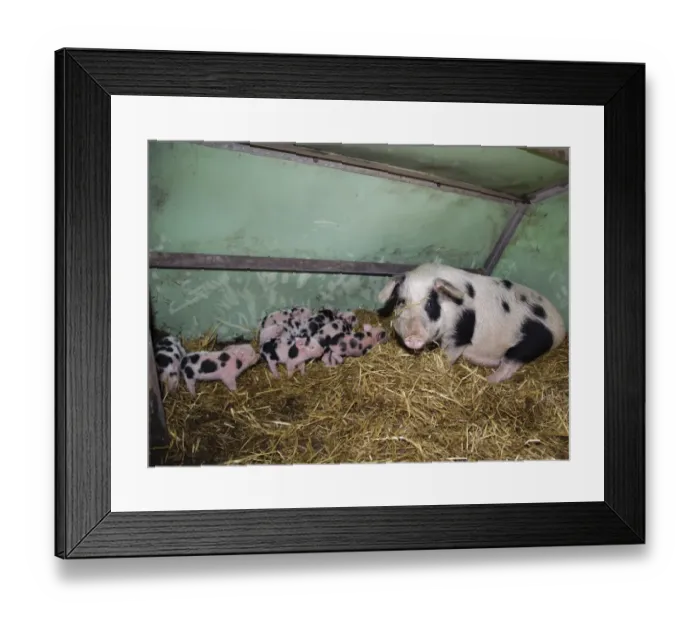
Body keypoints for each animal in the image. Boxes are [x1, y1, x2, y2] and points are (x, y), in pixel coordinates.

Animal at [376, 262, 566, 384]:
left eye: (430, 304)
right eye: (401, 302)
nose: (413, 337)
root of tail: (561, 328)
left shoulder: (460, 334)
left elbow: (448, 356)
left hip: (527, 347)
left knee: (508, 367)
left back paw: (488, 381)